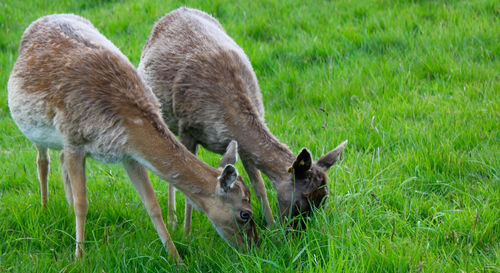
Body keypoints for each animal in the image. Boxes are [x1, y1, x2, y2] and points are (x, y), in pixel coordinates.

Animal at [6, 13, 258, 262]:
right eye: (245, 213)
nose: (252, 247)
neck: (125, 122)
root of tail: (42, 19)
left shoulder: (129, 155)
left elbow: (152, 204)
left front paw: (176, 257)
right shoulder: (74, 141)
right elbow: (82, 203)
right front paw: (79, 257)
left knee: (59, 160)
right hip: (38, 129)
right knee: (42, 160)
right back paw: (45, 207)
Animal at [138, 7, 348, 231]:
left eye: (323, 201)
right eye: (301, 201)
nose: (297, 233)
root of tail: (178, 10)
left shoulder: (244, 148)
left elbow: (259, 185)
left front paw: (270, 226)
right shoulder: (187, 129)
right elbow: (188, 188)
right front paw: (187, 233)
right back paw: (172, 220)